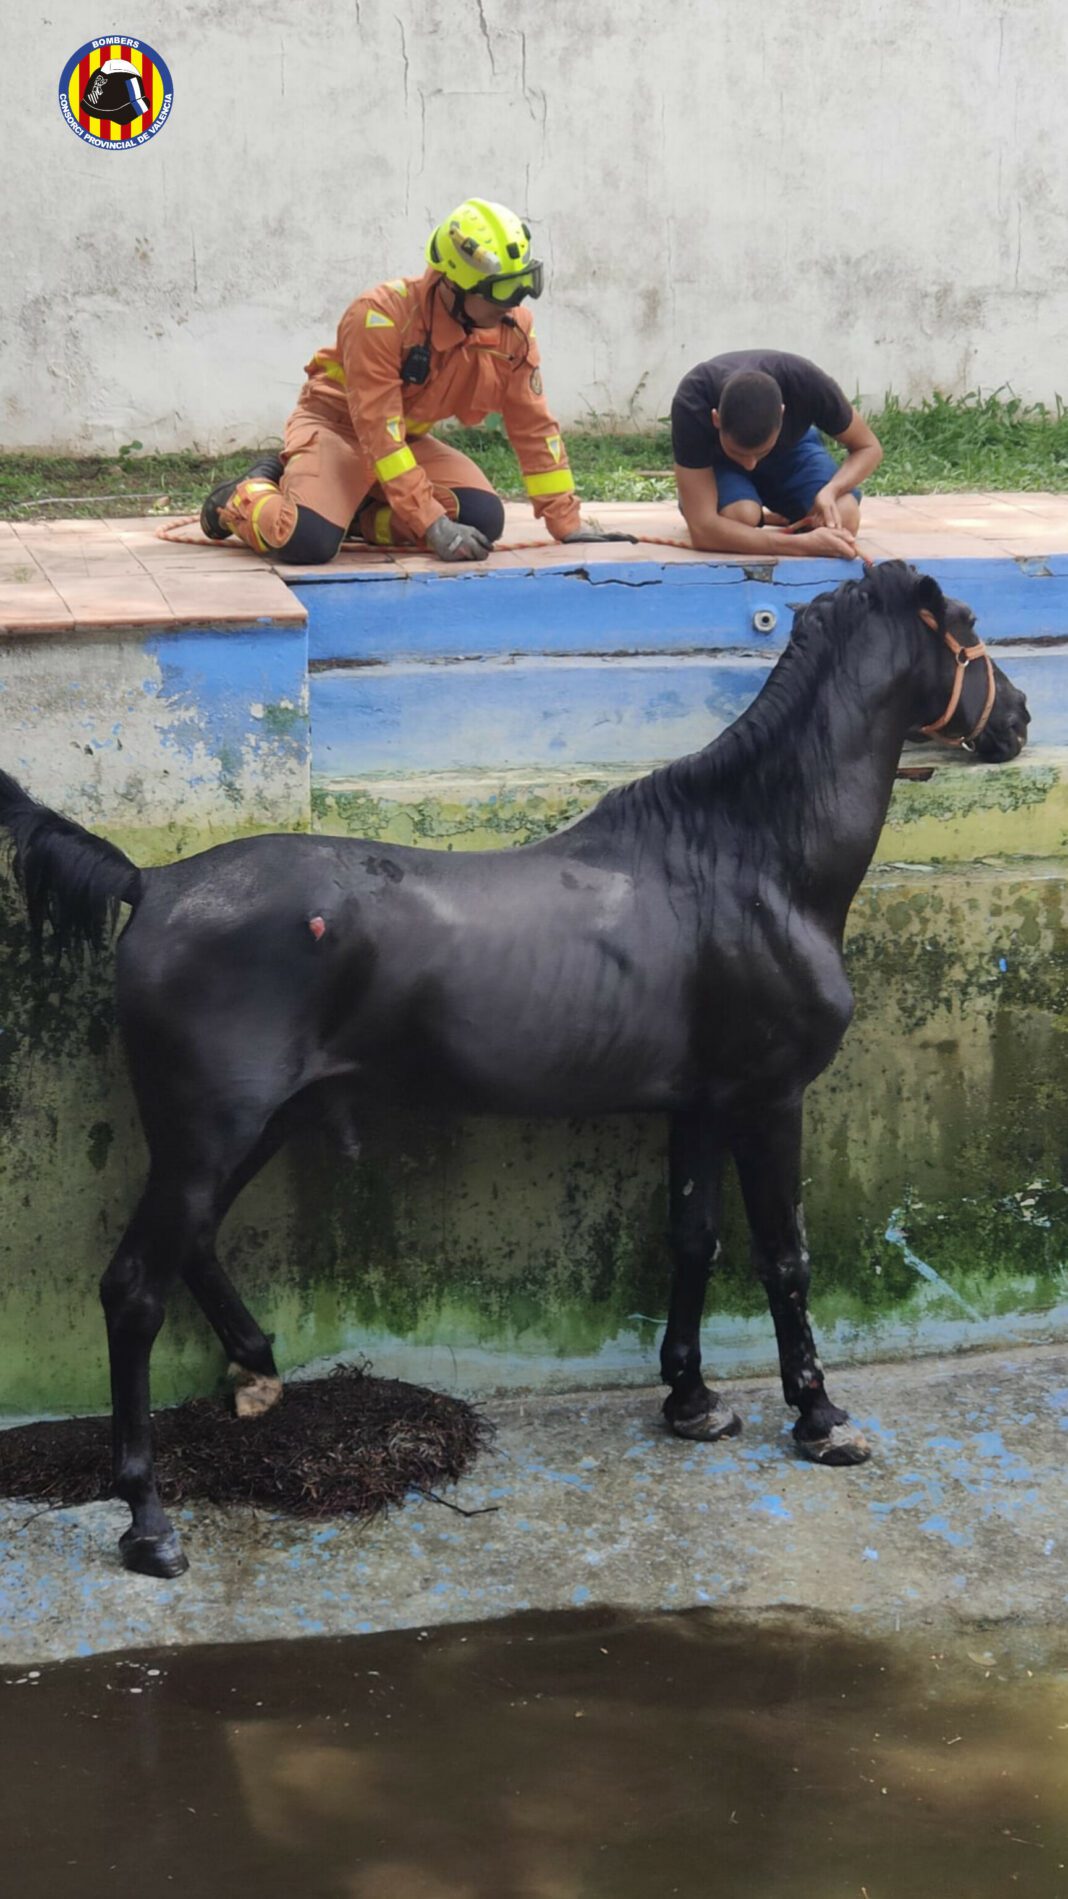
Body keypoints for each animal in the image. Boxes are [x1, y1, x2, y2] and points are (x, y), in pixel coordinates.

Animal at [0, 561, 1030, 1578]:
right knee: (134, 1290)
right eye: (969, 623)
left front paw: (692, 1401)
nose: (1016, 716)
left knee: (196, 1245)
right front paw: (821, 1419)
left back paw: (257, 1371)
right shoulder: (769, 1100)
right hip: (212, 1133)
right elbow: (785, 1258)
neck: (750, 865)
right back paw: (148, 1520)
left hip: (248, 1128)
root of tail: (155, 884)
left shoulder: (699, 1105)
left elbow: (693, 1237)